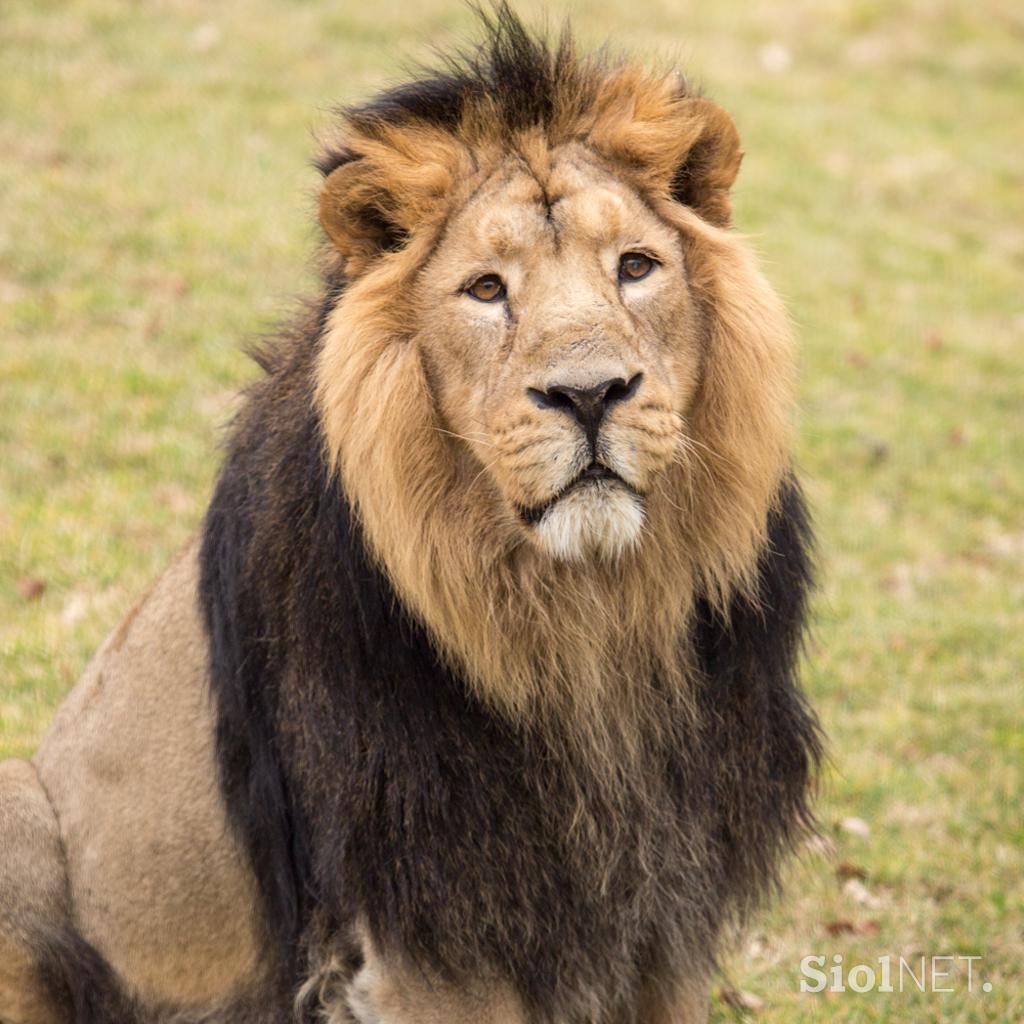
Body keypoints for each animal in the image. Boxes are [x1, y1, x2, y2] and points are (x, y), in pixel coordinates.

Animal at [0, 8, 819, 1024]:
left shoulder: (667, 912)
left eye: (636, 268)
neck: (588, 627)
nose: (590, 393)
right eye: (486, 289)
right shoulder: (427, 931)